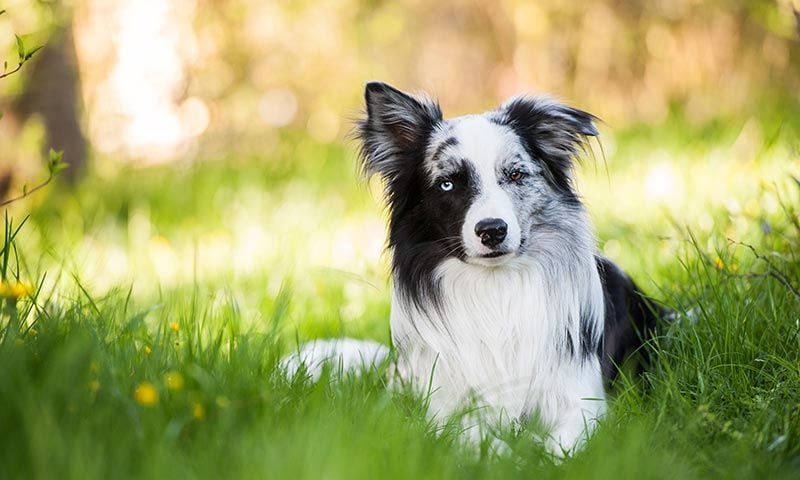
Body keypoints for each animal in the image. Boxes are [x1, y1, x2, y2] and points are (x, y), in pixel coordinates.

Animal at [284, 80, 664, 456]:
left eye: (515, 174)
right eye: (448, 183)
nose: (492, 230)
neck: (494, 291)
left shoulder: (581, 400)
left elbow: (563, 447)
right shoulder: (444, 409)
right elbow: (480, 439)